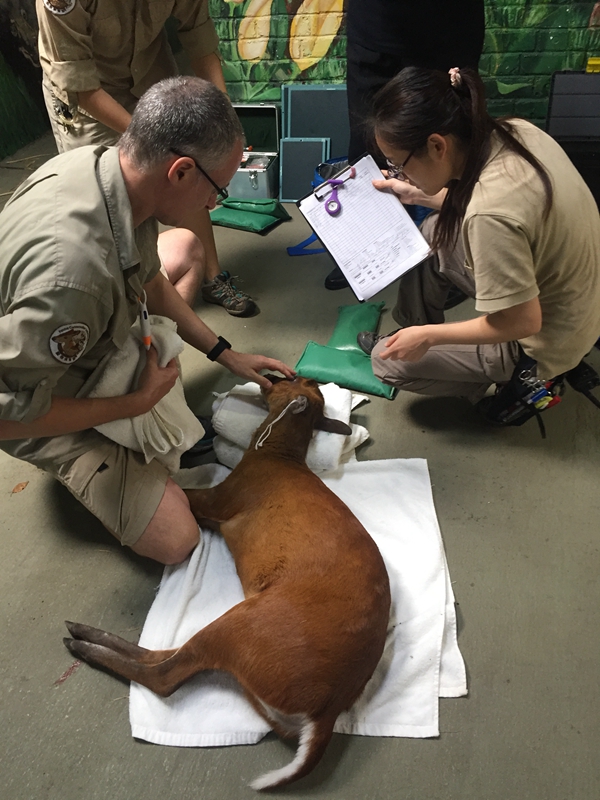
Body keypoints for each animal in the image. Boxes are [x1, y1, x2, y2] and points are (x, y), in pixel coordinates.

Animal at [64, 376, 391, 790]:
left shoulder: (218, 500)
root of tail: (327, 710)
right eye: (305, 382)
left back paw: (84, 646)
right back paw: (83, 633)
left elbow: (185, 494)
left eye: (293, 380)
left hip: (248, 624)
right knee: (169, 655)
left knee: (165, 675)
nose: (276, 375)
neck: (278, 455)